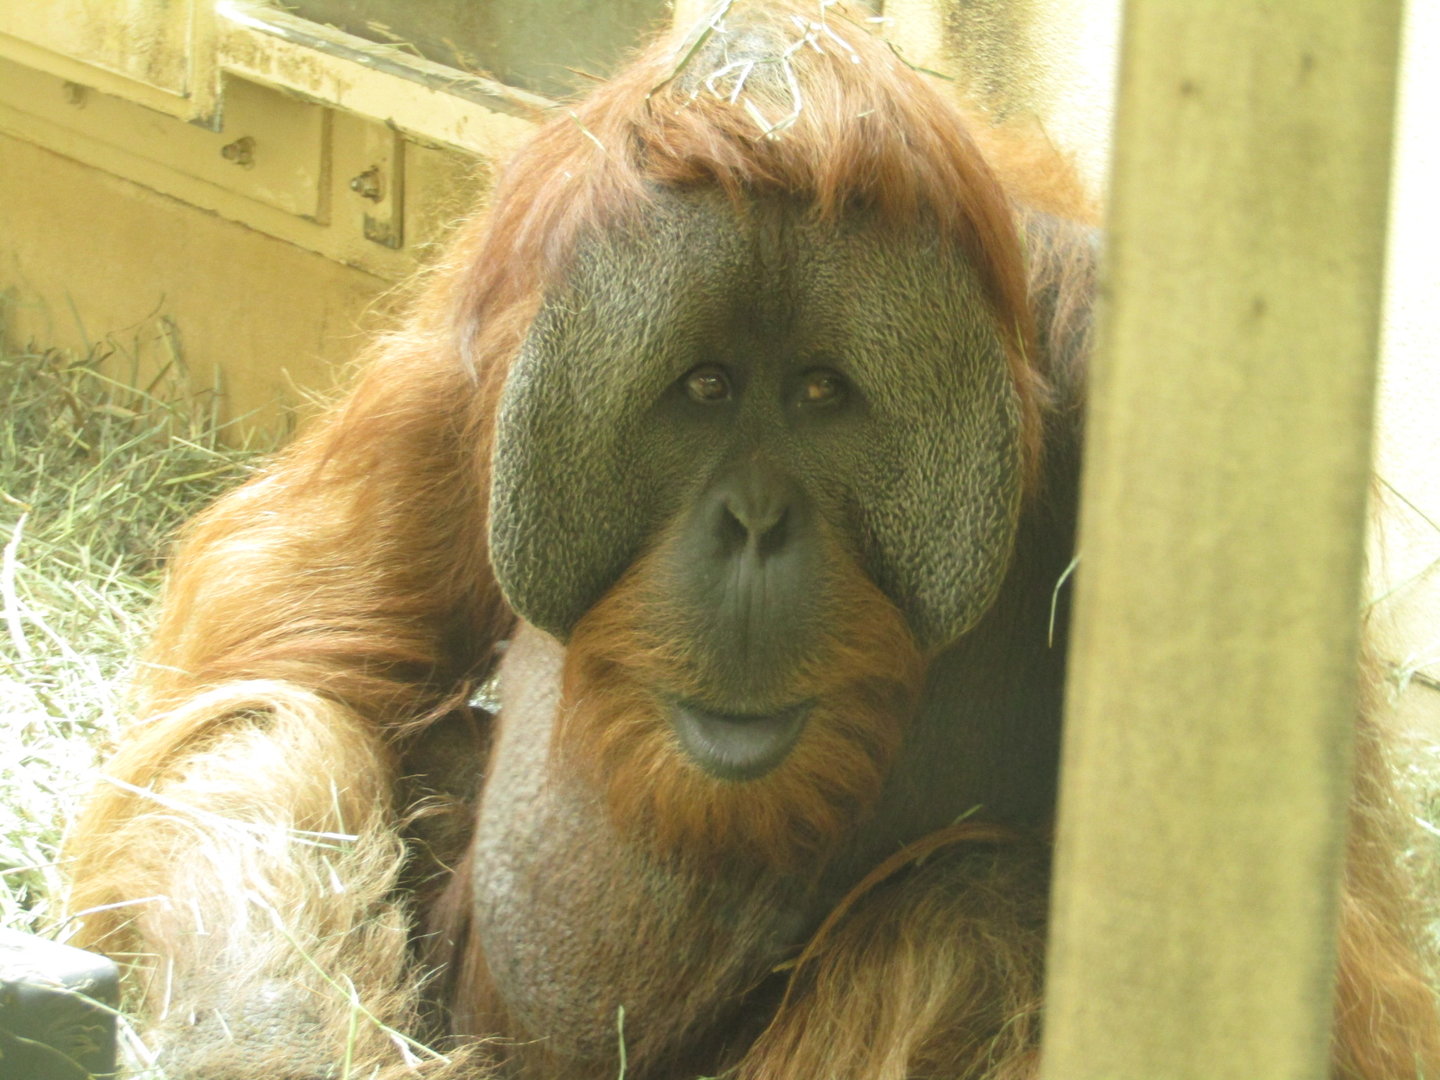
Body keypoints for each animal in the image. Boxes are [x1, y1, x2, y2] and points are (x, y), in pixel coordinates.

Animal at [61, 4, 1439, 1079]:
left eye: (823, 394)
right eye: (708, 389)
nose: (757, 523)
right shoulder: (467, 362)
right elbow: (290, 681)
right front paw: (270, 1048)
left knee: (976, 906)